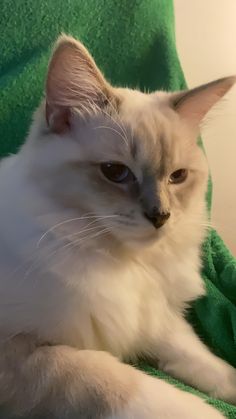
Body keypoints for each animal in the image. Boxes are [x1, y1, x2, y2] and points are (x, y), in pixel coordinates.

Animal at [0, 36, 235, 419]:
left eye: (178, 177)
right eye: (115, 172)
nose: (161, 216)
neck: (120, 263)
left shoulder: (154, 318)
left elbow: (205, 360)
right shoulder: (22, 351)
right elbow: (113, 380)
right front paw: (203, 411)